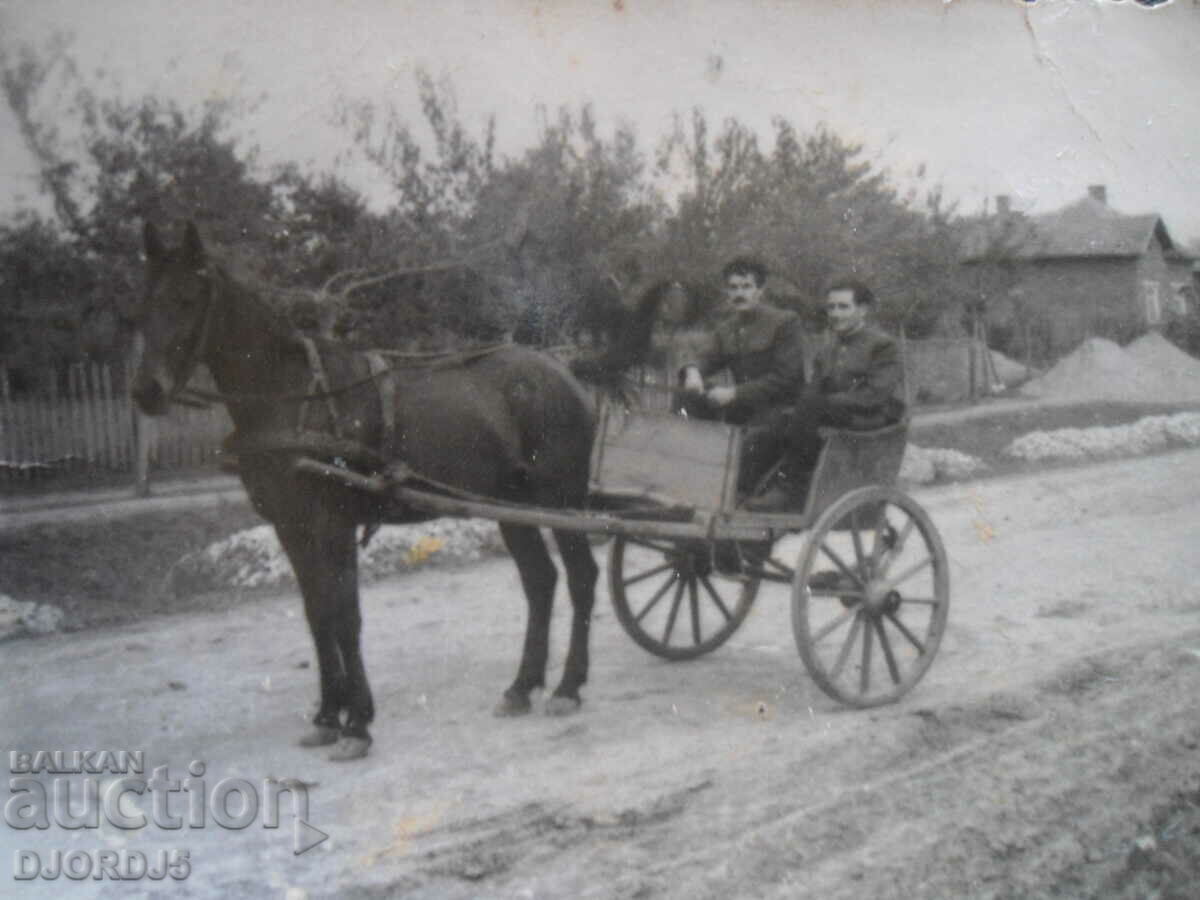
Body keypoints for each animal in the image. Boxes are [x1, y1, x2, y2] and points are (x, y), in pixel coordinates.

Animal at [132, 224, 667, 763]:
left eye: (188, 298)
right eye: (144, 300)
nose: (146, 391)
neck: (297, 397)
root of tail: (564, 368)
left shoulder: (333, 525)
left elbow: (344, 616)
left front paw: (357, 724)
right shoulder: (292, 529)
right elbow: (317, 615)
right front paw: (327, 717)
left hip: (559, 499)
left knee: (581, 577)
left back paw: (567, 687)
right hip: (511, 507)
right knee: (541, 581)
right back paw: (522, 687)